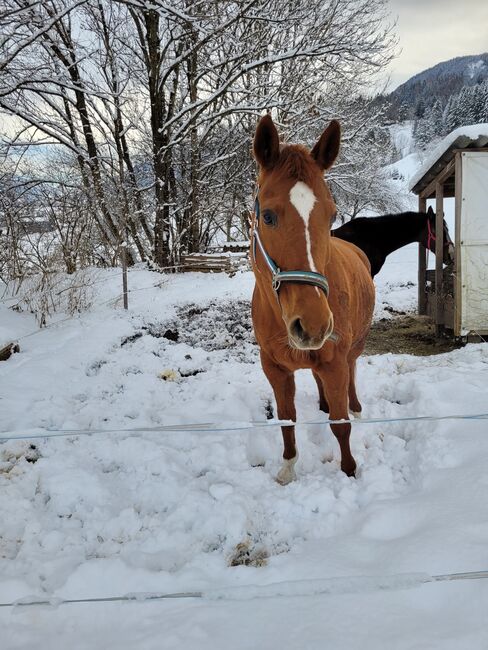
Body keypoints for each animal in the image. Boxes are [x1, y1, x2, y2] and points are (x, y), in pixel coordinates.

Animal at [252, 115, 374, 480]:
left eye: (331, 215)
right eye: (268, 216)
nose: (313, 325)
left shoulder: (335, 362)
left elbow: (341, 424)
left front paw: (349, 471)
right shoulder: (274, 368)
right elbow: (286, 421)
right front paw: (288, 468)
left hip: (354, 349)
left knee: (352, 375)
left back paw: (356, 407)